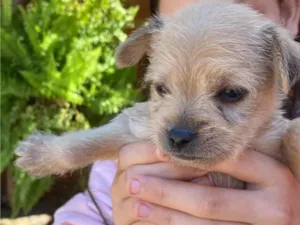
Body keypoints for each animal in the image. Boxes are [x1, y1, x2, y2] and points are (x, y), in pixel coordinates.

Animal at [14, 1, 300, 188]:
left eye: (231, 93)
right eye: (161, 89)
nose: (178, 136)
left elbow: (291, 135)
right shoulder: (135, 130)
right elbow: (86, 143)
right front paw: (42, 155)